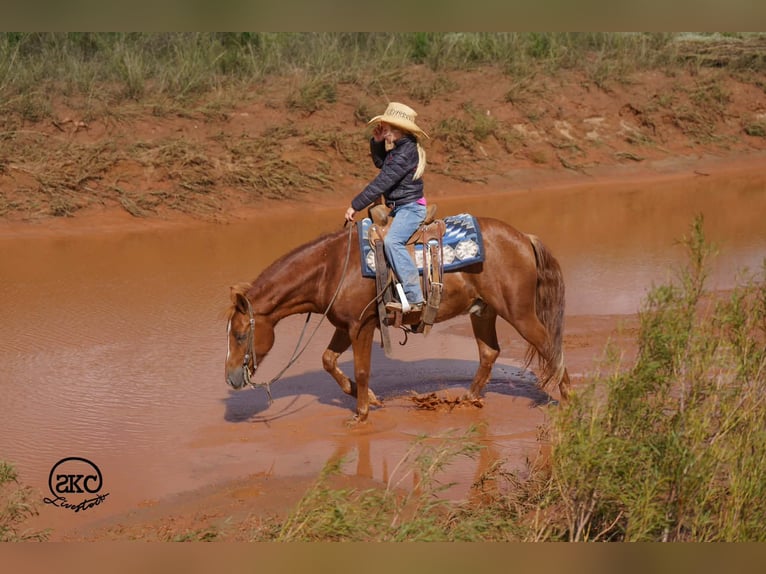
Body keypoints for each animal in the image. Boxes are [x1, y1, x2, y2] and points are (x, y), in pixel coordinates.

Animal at [224, 216, 570, 423]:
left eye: (240, 335)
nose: (231, 378)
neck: (331, 268)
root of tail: (524, 238)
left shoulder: (361, 326)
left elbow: (362, 369)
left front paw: (361, 413)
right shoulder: (344, 325)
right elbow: (328, 360)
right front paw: (367, 397)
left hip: (520, 314)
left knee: (551, 349)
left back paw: (569, 401)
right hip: (483, 311)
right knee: (489, 353)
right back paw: (468, 398)